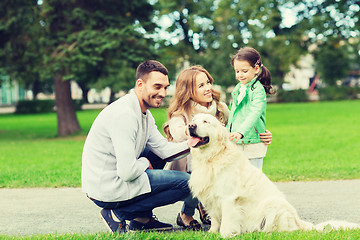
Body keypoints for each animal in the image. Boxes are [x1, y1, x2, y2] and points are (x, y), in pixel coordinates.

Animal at [187, 113, 358, 237]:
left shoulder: (228, 198)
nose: (190, 126)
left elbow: (227, 220)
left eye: (206, 121)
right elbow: (215, 219)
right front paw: (212, 232)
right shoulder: (211, 197)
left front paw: (225, 234)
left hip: (273, 205)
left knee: (288, 230)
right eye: (193, 120)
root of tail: (300, 221)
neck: (211, 158)